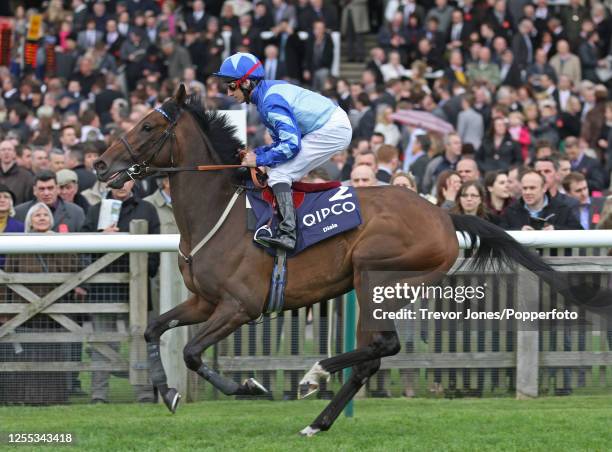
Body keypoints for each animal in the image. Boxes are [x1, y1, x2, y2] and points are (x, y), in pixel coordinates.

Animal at [95, 85, 608, 438]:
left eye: (147, 126)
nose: (100, 165)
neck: (218, 210)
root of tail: (442, 213)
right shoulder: (205, 301)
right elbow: (153, 329)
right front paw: (166, 391)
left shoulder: (240, 306)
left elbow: (191, 351)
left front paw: (249, 388)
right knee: (372, 359)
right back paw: (317, 421)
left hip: (375, 275)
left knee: (384, 347)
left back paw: (315, 376)